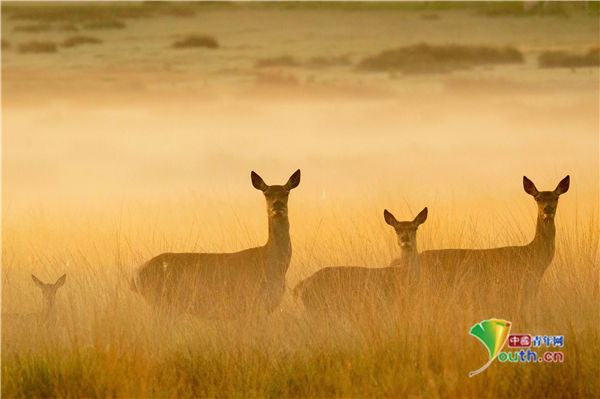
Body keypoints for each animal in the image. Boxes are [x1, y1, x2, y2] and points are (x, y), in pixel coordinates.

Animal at [131, 170, 300, 320]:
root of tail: (137, 274)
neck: (274, 265)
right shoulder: (251, 304)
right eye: (266, 193)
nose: (277, 205)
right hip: (161, 303)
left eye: (286, 192)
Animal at [294, 209, 426, 318]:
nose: (405, 238)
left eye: (415, 228)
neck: (403, 276)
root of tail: (304, 283)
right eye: (396, 229)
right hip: (317, 308)